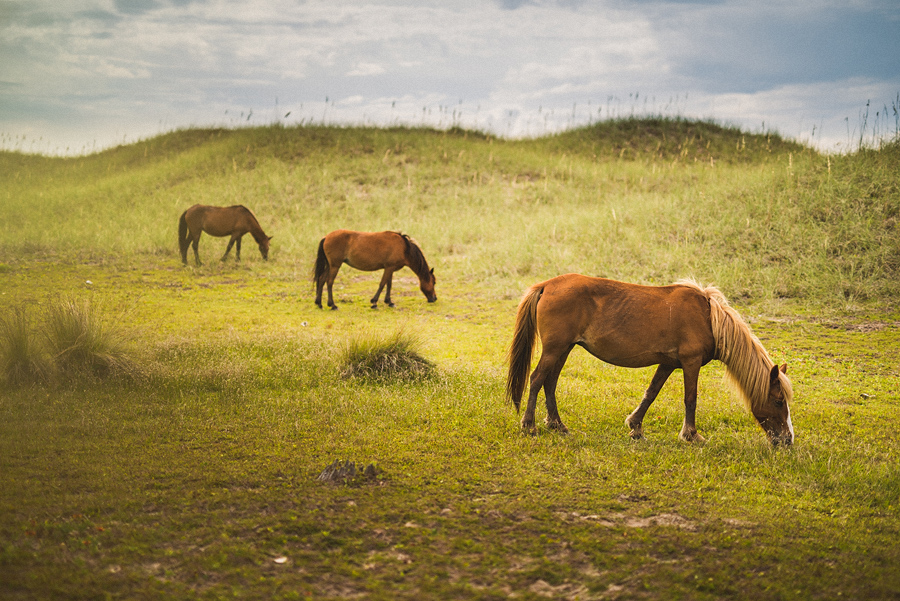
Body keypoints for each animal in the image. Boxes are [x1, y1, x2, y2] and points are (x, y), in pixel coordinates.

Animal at [506, 275, 794, 446]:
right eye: (779, 401)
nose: (787, 440)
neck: (709, 319)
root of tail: (546, 285)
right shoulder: (690, 363)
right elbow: (691, 398)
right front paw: (691, 435)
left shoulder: (668, 364)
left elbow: (651, 393)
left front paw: (636, 427)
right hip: (555, 349)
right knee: (537, 379)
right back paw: (529, 425)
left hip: (563, 349)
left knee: (550, 383)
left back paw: (557, 425)